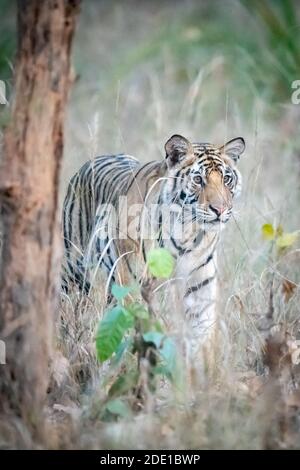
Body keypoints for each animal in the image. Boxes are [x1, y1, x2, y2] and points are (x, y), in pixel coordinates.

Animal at [62, 134, 245, 350]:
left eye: (227, 179)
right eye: (198, 180)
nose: (220, 209)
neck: (187, 233)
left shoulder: (200, 288)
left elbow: (202, 334)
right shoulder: (132, 283)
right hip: (73, 269)